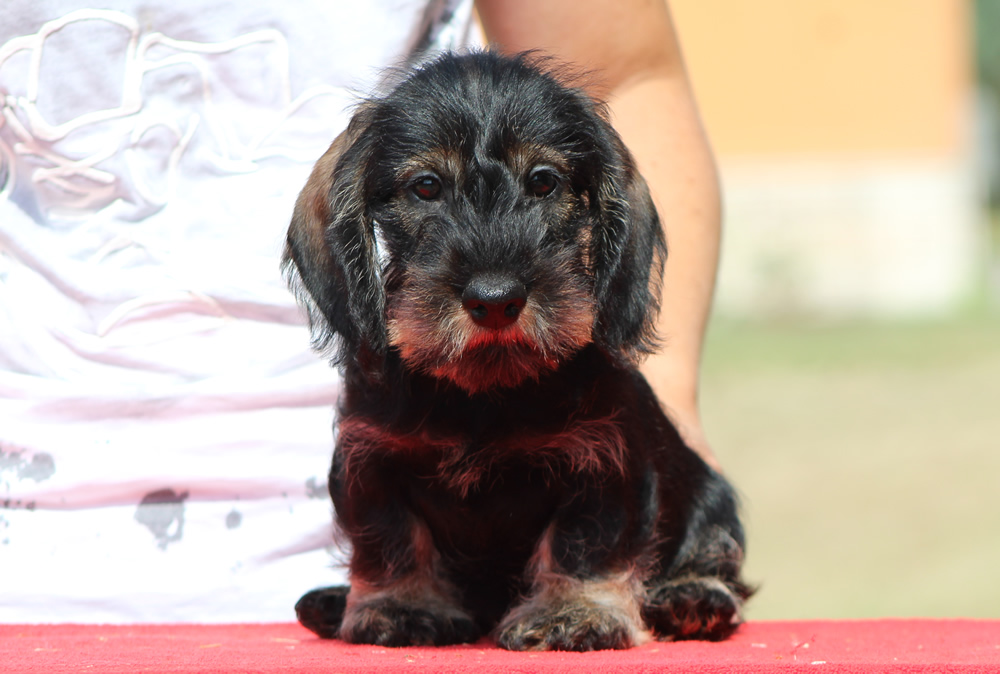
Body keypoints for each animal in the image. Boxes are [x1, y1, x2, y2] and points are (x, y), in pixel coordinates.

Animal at [282, 50, 752, 648]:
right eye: (426, 186)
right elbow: (389, 538)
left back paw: (691, 597)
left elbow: (585, 541)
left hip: (710, 496)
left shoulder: (602, 458)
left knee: (712, 552)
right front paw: (401, 606)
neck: (484, 394)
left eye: (544, 182)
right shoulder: (372, 458)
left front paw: (573, 612)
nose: (495, 299)